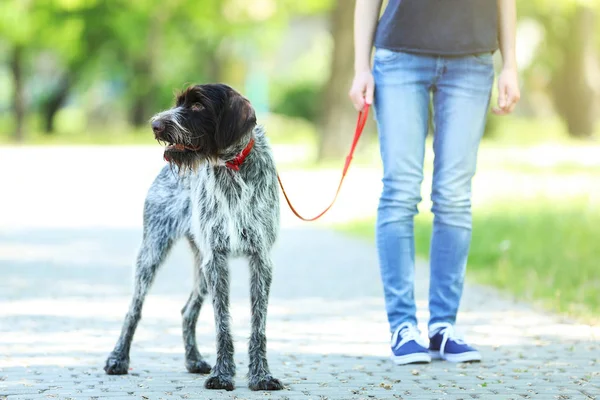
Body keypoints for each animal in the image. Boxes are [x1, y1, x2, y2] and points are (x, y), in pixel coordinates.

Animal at [105, 82, 284, 390]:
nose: (155, 124)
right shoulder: (217, 258)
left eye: (198, 105)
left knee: (188, 311)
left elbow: (258, 324)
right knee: (134, 310)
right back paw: (118, 359)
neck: (231, 166)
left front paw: (261, 375)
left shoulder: (260, 260)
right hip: (154, 251)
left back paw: (193, 359)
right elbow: (222, 322)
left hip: (202, 267)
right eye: (178, 102)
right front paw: (223, 374)